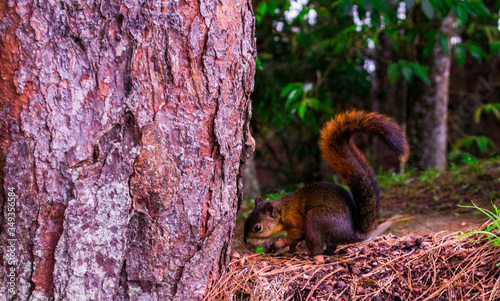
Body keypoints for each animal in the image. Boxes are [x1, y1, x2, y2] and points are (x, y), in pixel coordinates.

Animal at [244, 110, 408, 255]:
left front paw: (278, 244)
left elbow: (296, 235)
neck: (282, 209)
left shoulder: (295, 220)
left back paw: (313, 255)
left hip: (316, 218)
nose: (247, 242)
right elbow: (294, 241)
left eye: (258, 228)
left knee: (316, 245)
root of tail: (353, 233)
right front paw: (291, 249)